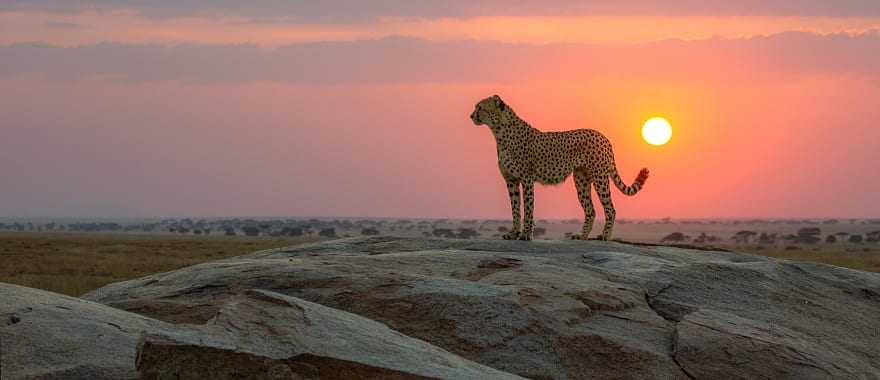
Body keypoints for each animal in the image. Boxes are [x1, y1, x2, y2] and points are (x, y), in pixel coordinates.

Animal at [470, 95, 648, 240]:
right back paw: (582, 236)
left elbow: (528, 207)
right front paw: (513, 233)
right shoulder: (511, 180)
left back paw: (604, 236)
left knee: (610, 209)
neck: (499, 131)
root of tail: (602, 136)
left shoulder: (527, 179)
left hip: (600, 177)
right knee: (590, 210)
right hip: (581, 180)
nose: (471, 116)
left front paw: (526, 235)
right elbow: (515, 208)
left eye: (480, 107)